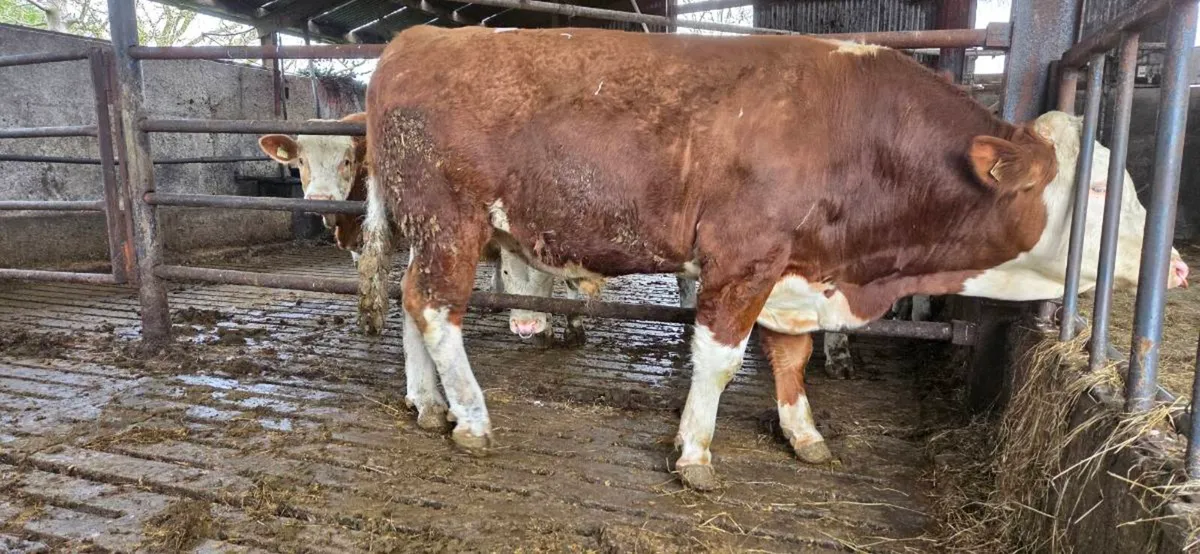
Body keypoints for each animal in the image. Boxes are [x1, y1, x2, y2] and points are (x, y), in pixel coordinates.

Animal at [356, 26, 1189, 491]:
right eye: (1101, 189)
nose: (1178, 268)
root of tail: (421, 37)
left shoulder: (799, 270)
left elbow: (793, 357)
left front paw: (805, 435)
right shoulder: (743, 257)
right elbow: (721, 360)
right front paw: (694, 452)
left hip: (424, 229)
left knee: (411, 301)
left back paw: (426, 403)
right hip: (452, 222)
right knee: (438, 310)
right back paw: (470, 415)